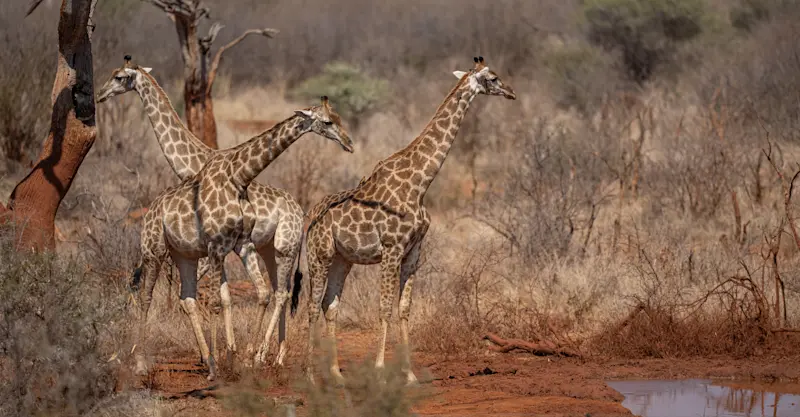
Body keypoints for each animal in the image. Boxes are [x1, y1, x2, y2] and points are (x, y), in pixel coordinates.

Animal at [98, 58, 354, 379]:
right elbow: (220, 297)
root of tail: (301, 211)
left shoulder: (222, 247)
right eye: (329, 121)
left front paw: (226, 355)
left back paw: (264, 355)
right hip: (262, 249)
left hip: (281, 248)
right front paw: (225, 354)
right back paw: (269, 355)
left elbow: (220, 298)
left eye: (119, 77)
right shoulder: (220, 247)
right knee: (273, 292)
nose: (100, 94)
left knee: (279, 293)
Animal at [300, 57, 515, 384]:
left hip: (342, 259)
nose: (511, 92)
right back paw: (312, 376)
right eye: (492, 77)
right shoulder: (392, 249)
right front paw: (380, 372)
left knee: (329, 304)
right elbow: (384, 308)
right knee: (312, 306)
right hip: (319, 255)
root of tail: (309, 215)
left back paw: (336, 374)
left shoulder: (414, 251)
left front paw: (409, 374)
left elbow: (403, 308)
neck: (420, 183)